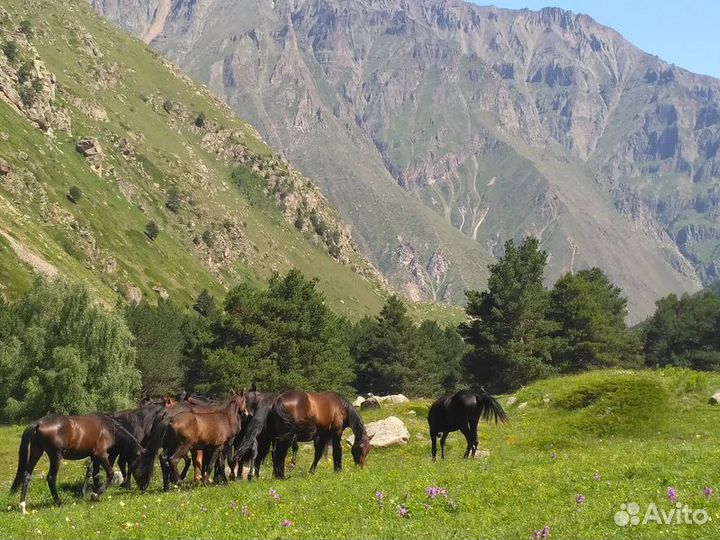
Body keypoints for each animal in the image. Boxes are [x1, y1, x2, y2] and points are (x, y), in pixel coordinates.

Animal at [9, 414, 148, 516]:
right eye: (144, 464)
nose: (144, 487)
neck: (111, 429)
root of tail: (39, 423)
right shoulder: (101, 454)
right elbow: (110, 473)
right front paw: (98, 493)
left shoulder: (94, 456)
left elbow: (95, 474)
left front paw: (94, 495)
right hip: (55, 456)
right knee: (51, 478)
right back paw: (59, 502)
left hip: (37, 451)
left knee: (27, 476)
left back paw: (23, 507)